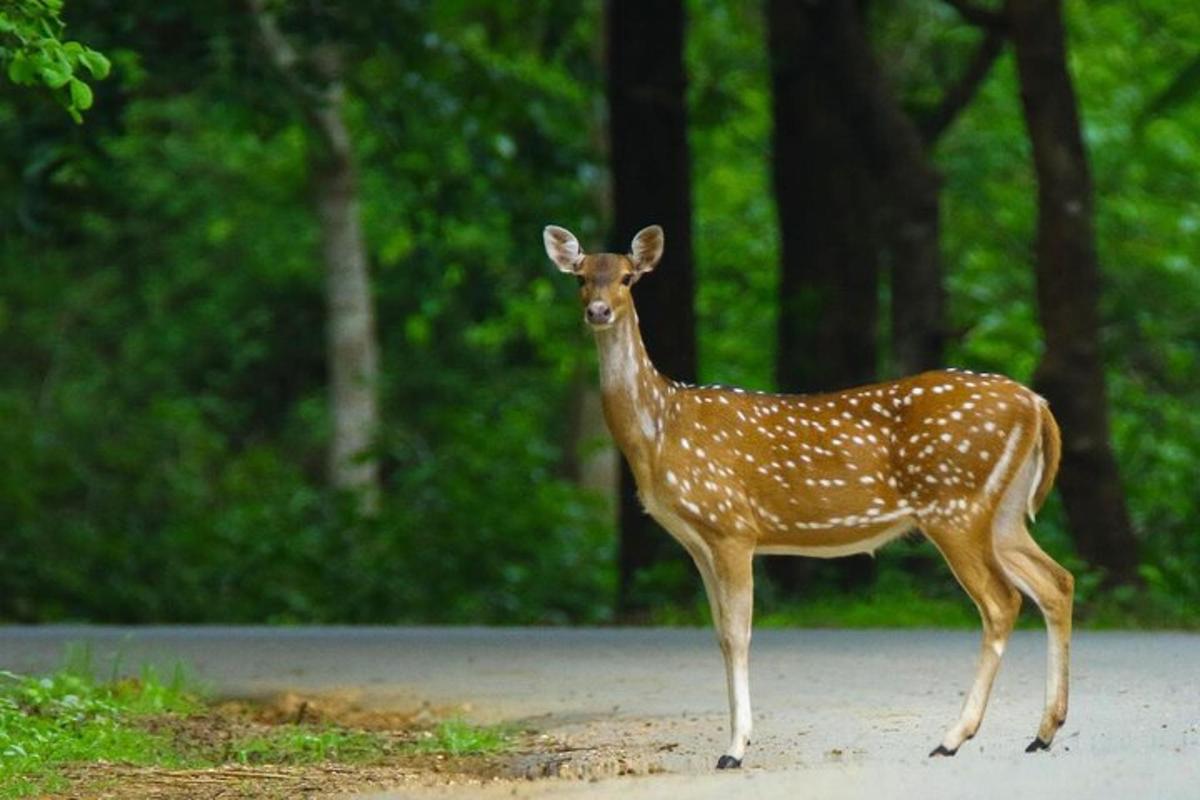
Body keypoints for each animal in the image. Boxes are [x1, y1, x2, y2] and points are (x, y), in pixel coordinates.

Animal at [549, 224, 1075, 767]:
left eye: (628, 278)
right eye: (581, 278)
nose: (598, 311)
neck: (659, 431)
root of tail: (1037, 404)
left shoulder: (731, 526)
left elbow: (737, 634)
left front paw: (735, 748)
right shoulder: (697, 542)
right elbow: (719, 635)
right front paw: (736, 741)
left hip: (955, 505)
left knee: (1002, 601)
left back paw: (954, 737)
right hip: (1003, 512)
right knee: (1056, 582)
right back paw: (1043, 732)